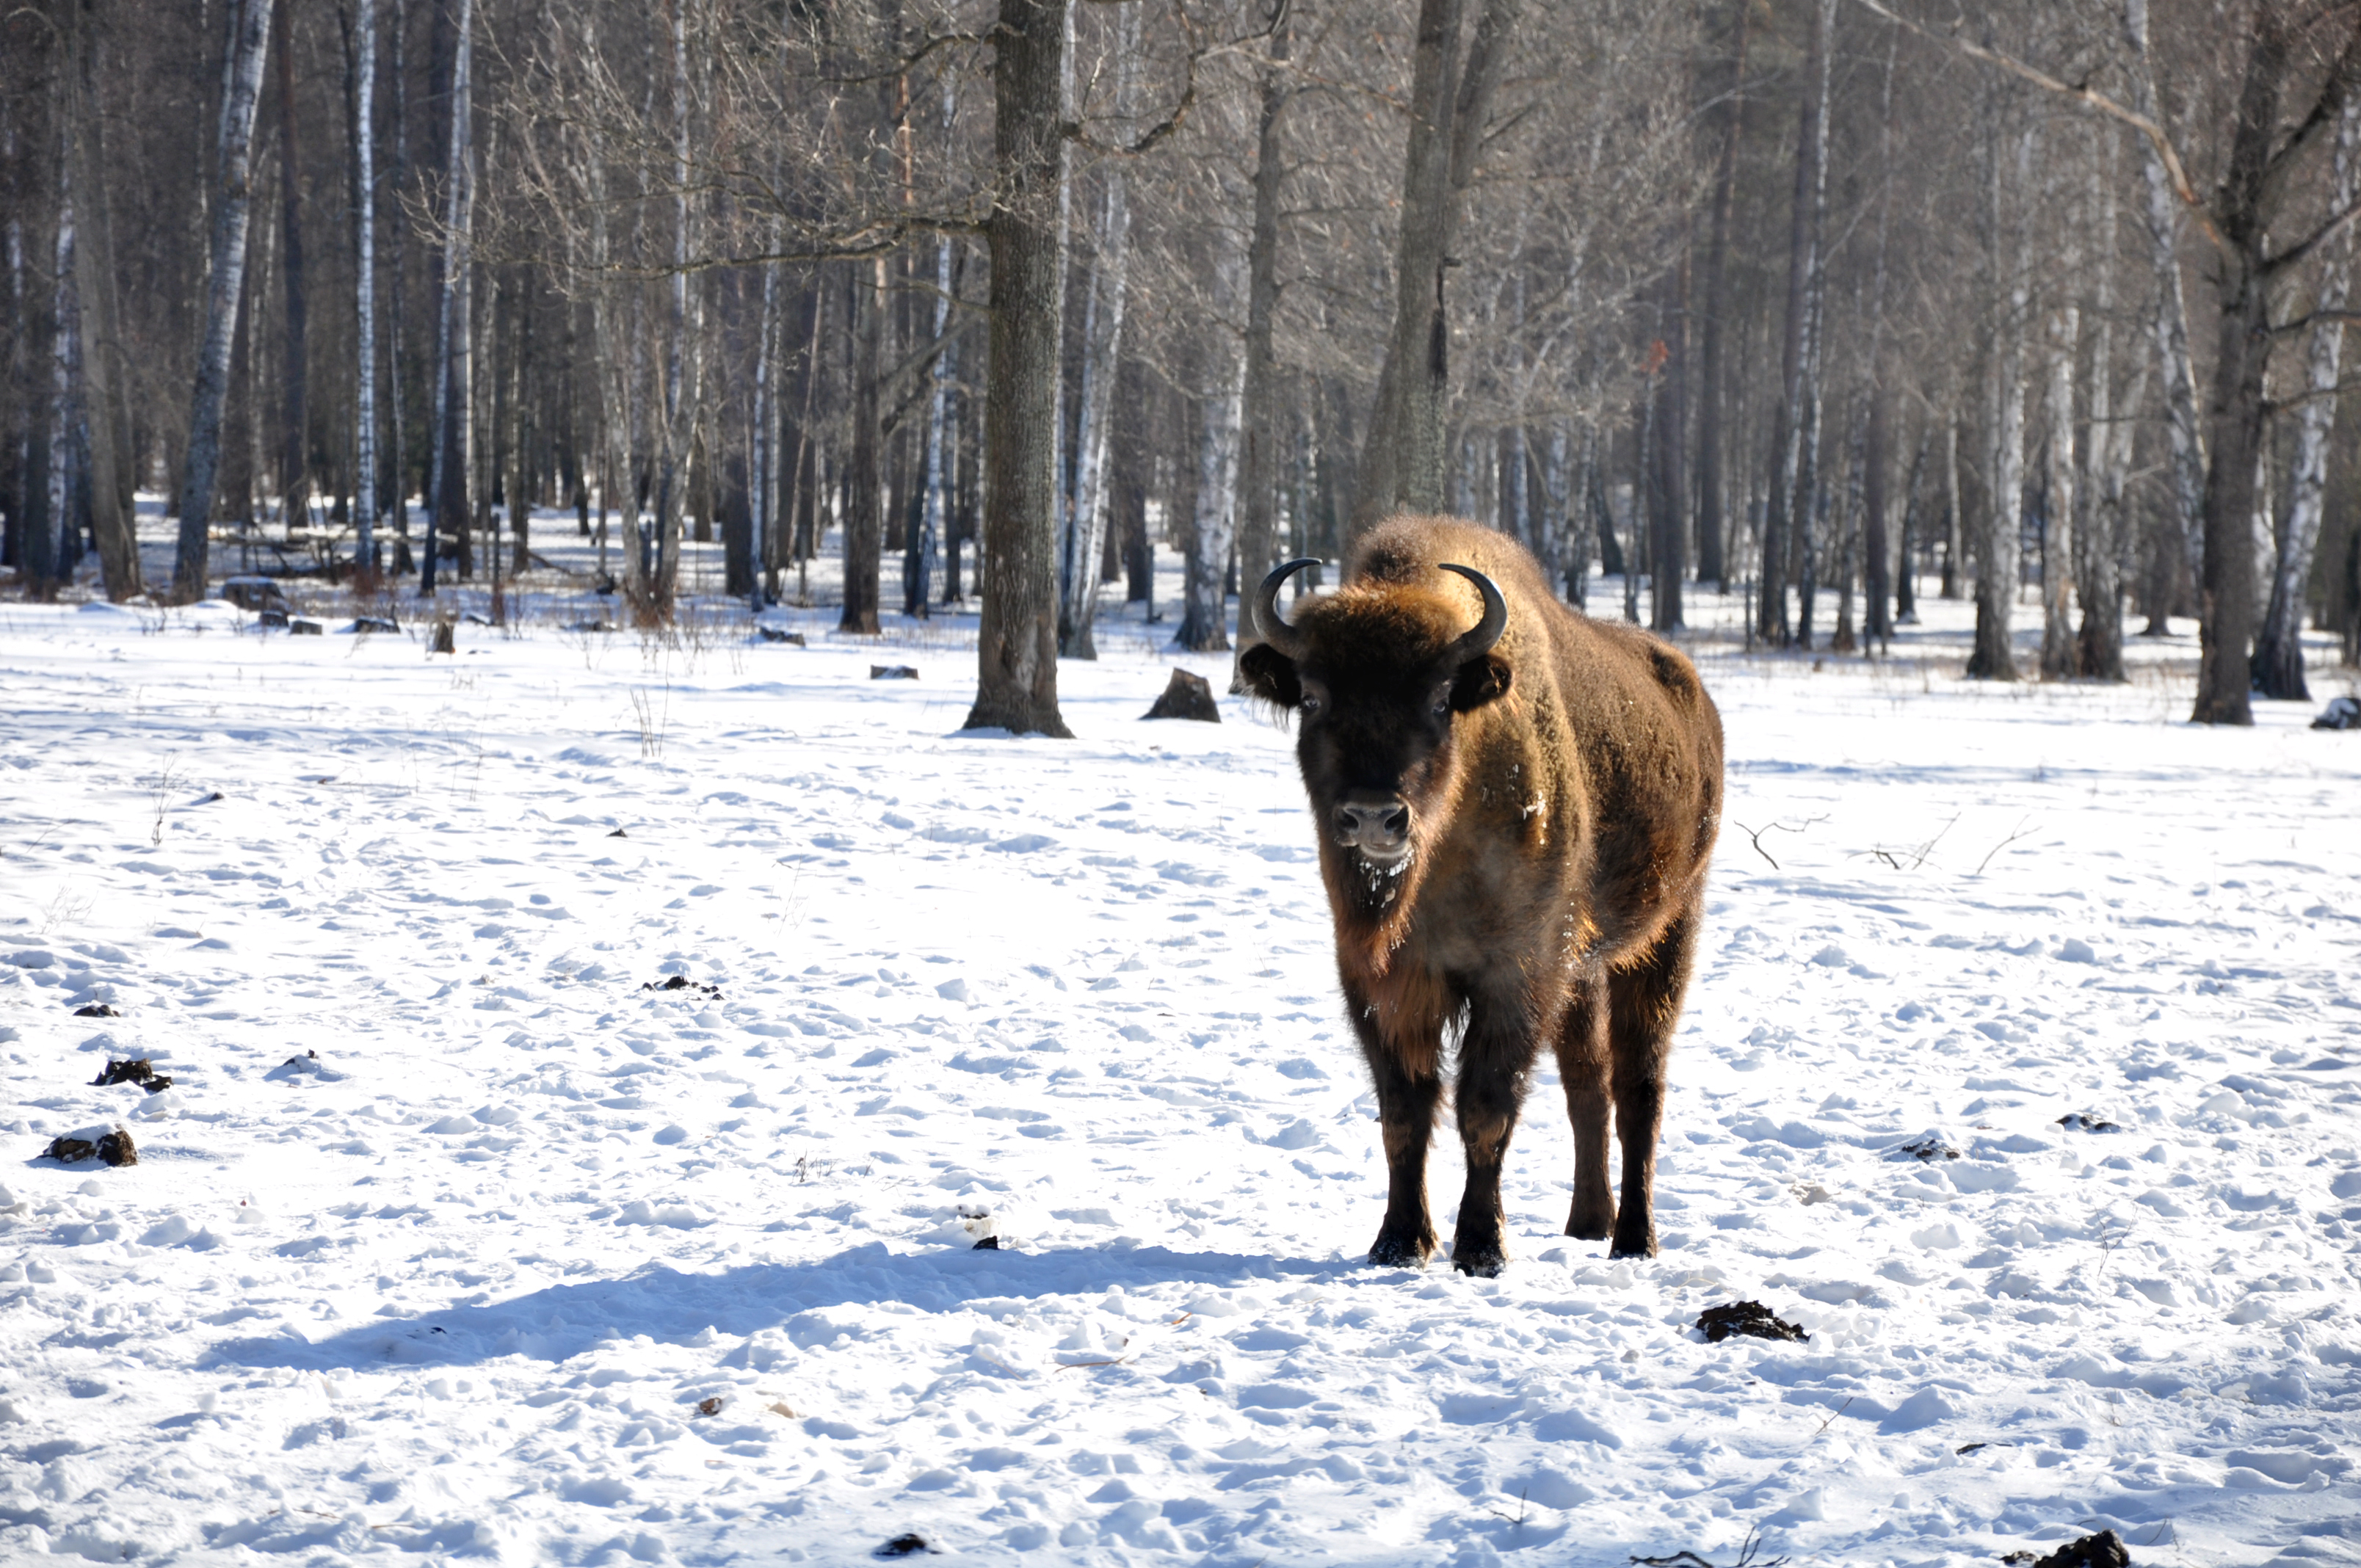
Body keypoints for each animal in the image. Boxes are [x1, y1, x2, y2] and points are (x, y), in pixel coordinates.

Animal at [1247, 515, 1728, 1275]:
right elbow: (1405, 1110)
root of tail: (1694, 698)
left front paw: (1480, 1247)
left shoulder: (1516, 975)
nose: (1373, 817)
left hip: (1667, 935)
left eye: (1442, 699)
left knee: (1637, 1089)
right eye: (1315, 698)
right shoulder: (1381, 980)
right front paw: (1399, 1242)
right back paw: (1588, 1223)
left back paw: (1634, 1240)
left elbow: (1485, 1108)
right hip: (1583, 973)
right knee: (1587, 1087)